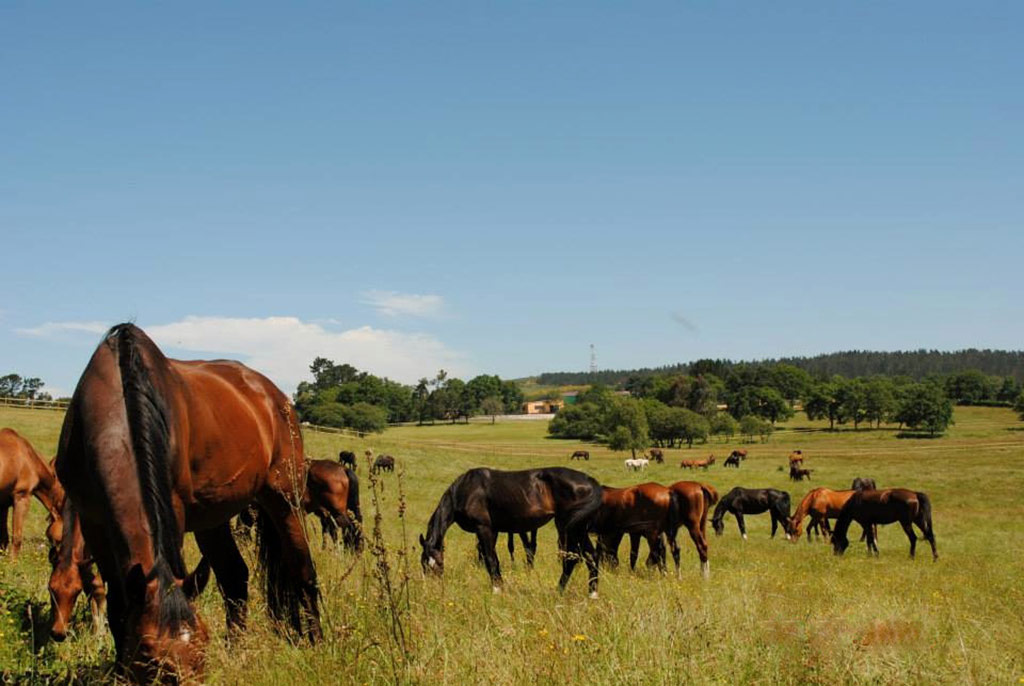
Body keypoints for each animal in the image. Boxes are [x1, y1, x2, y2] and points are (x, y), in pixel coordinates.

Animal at [55, 325, 319, 683]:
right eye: (149, 654)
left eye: (202, 645)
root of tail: (276, 397)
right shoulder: (94, 521)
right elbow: (118, 604)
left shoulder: (173, 511)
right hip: (213, 519)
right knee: (235, 577)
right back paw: (238, 653)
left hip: (284, 500)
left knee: (303, 568)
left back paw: (316, 642)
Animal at [419, 470, 602, 597]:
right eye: (423, 564)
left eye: (439, 564)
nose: (433, 590)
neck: (466, 490)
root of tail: (590, 482)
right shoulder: (492, 531)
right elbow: (493, 559)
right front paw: (500, 585)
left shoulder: (483, 528)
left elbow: (490, 559)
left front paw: (496, 590)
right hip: (576, 529)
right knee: (587, 557)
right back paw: (583, 593)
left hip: (572, 528)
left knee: (579, 559)